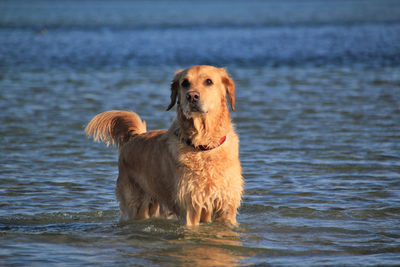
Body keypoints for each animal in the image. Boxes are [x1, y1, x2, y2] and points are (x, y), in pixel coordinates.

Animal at [86, 66, 244, 227]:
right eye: (184, 83)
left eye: (209, 81)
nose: (192, 96)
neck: (203, 146)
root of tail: (134, 137)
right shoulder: (190, 207)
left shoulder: (227, 206)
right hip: (135, 203)